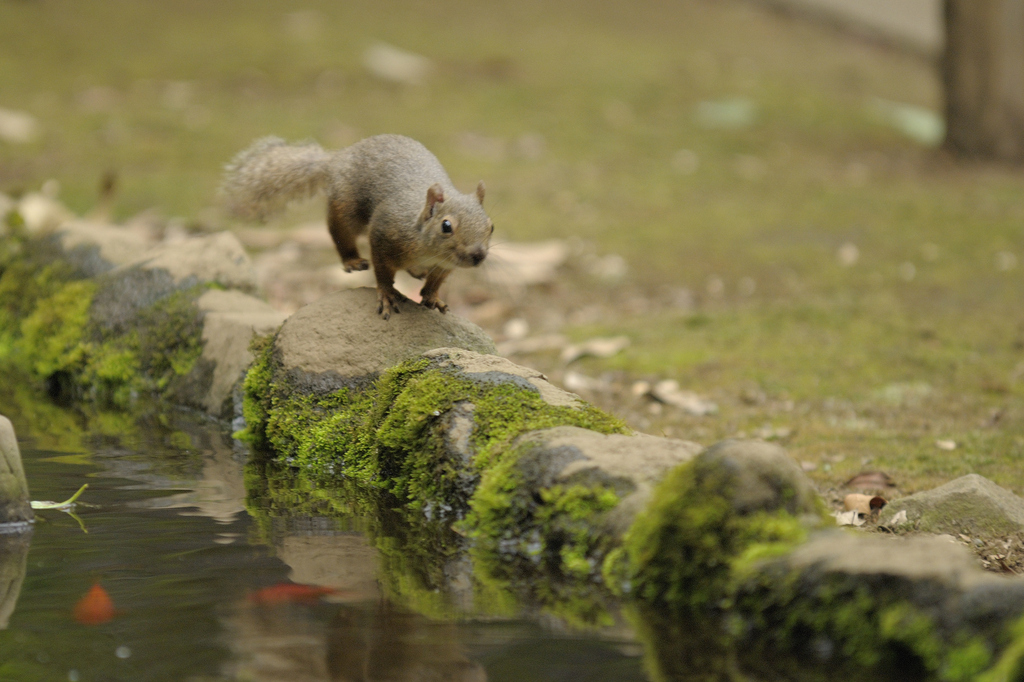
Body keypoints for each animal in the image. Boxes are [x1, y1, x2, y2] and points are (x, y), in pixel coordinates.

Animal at [222, 134, 493, 317]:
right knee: (340, 235)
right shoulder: (384, 235)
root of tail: (337, 158)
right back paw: (352, 260)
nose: (478, 256)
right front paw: (387, 294)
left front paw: (433, 297)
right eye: (446, 226)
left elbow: (436, 282)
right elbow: (382, 271)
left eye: (491, 226)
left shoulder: (444, 266)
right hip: (346, 211)